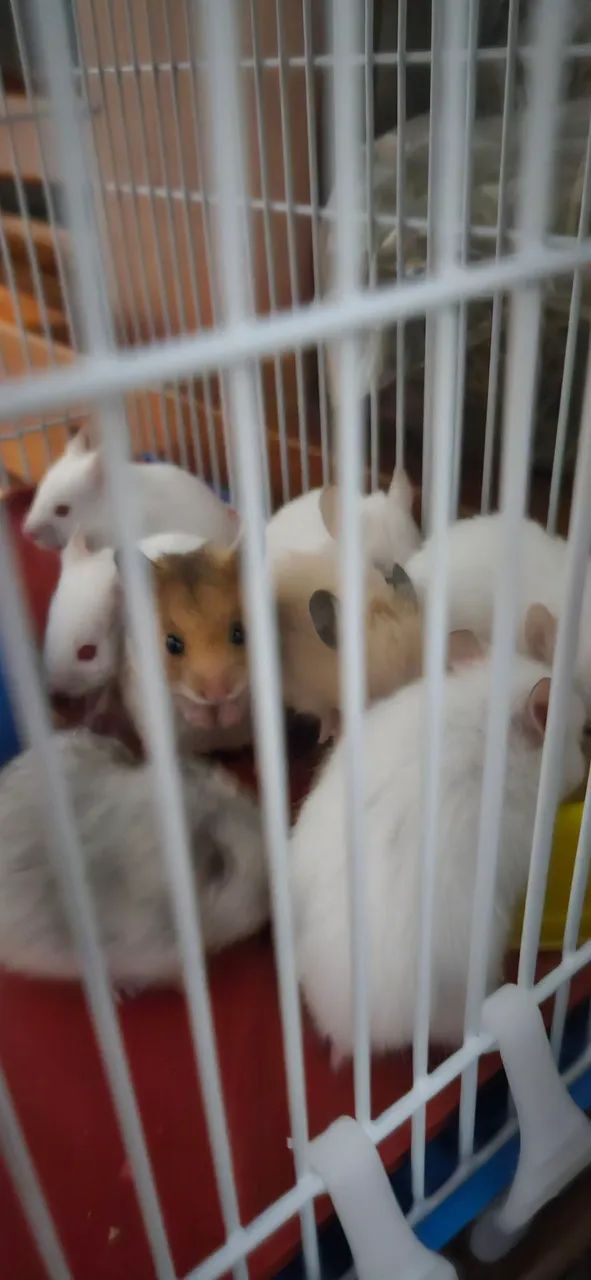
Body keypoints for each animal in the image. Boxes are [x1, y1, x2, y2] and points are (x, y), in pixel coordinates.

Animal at [123, 544, 252, 755]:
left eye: (239, 633)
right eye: (172, 644)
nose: (217, 694)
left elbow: (240, 698)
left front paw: (224, 720)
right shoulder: (144, 673)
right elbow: (183, 701)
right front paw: (207, 723)